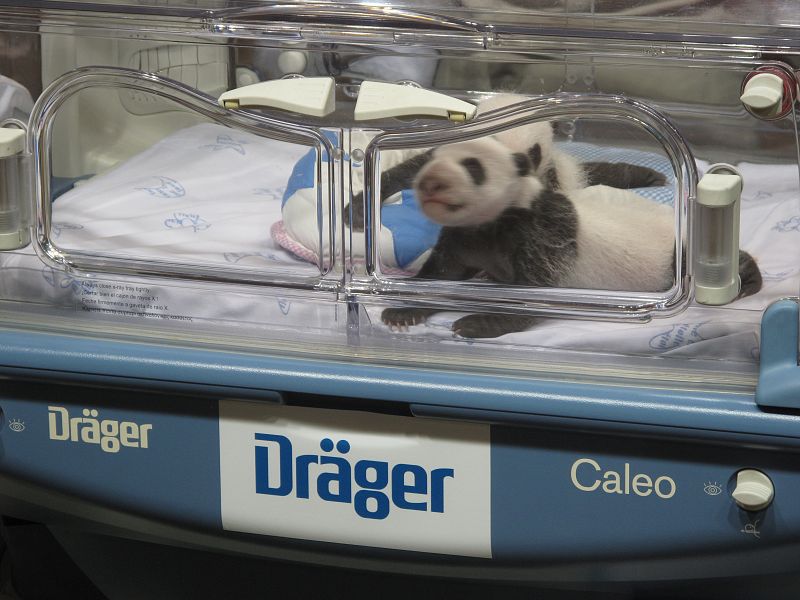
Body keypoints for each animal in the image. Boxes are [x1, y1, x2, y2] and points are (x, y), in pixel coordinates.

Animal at [381, 136, 763, 339]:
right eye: (428, 162)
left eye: (473, 166)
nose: (431, 183)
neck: (490, 222)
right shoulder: (463, 237)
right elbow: (441, 275)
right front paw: (402, 312)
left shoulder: (541, 233)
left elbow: (534, 293)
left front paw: (476, 322)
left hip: (677, 250)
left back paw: (749, 282)